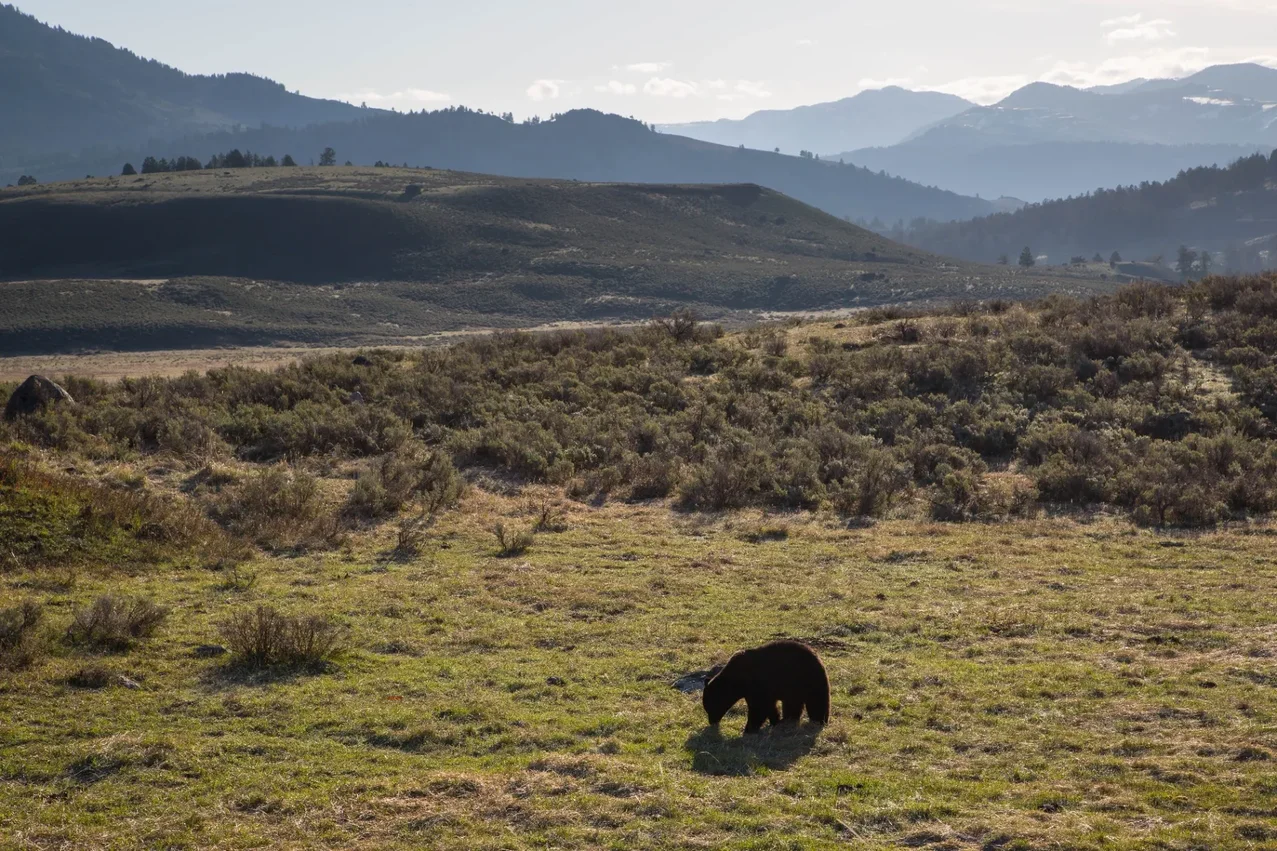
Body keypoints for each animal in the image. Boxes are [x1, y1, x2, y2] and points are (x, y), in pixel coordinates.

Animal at [702, 640, 830, 734]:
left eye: (710, 707)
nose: (712, 721)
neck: (737, 680)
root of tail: (818, 657)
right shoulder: (756, 690)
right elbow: (768, 706)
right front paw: (775, 721)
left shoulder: (757, 684)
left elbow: (759, 707)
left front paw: (749, 729)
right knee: (793, 704)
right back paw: (788, 720)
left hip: (808, 679)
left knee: (816, 701)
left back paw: (819, 720)